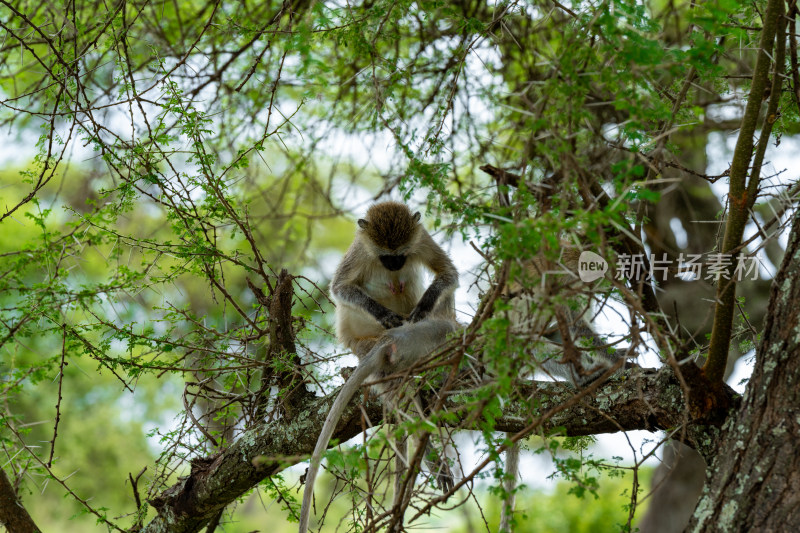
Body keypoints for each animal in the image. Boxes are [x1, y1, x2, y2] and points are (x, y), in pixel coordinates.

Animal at [298, 202, 462, 532]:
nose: (396, 265)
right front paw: (382, 313)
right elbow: (341, 287)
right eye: (386, 256)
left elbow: (448, 274)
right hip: (362, 341)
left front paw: (424, 306)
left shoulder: (420, 239)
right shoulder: (361, 252)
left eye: (401, 253)